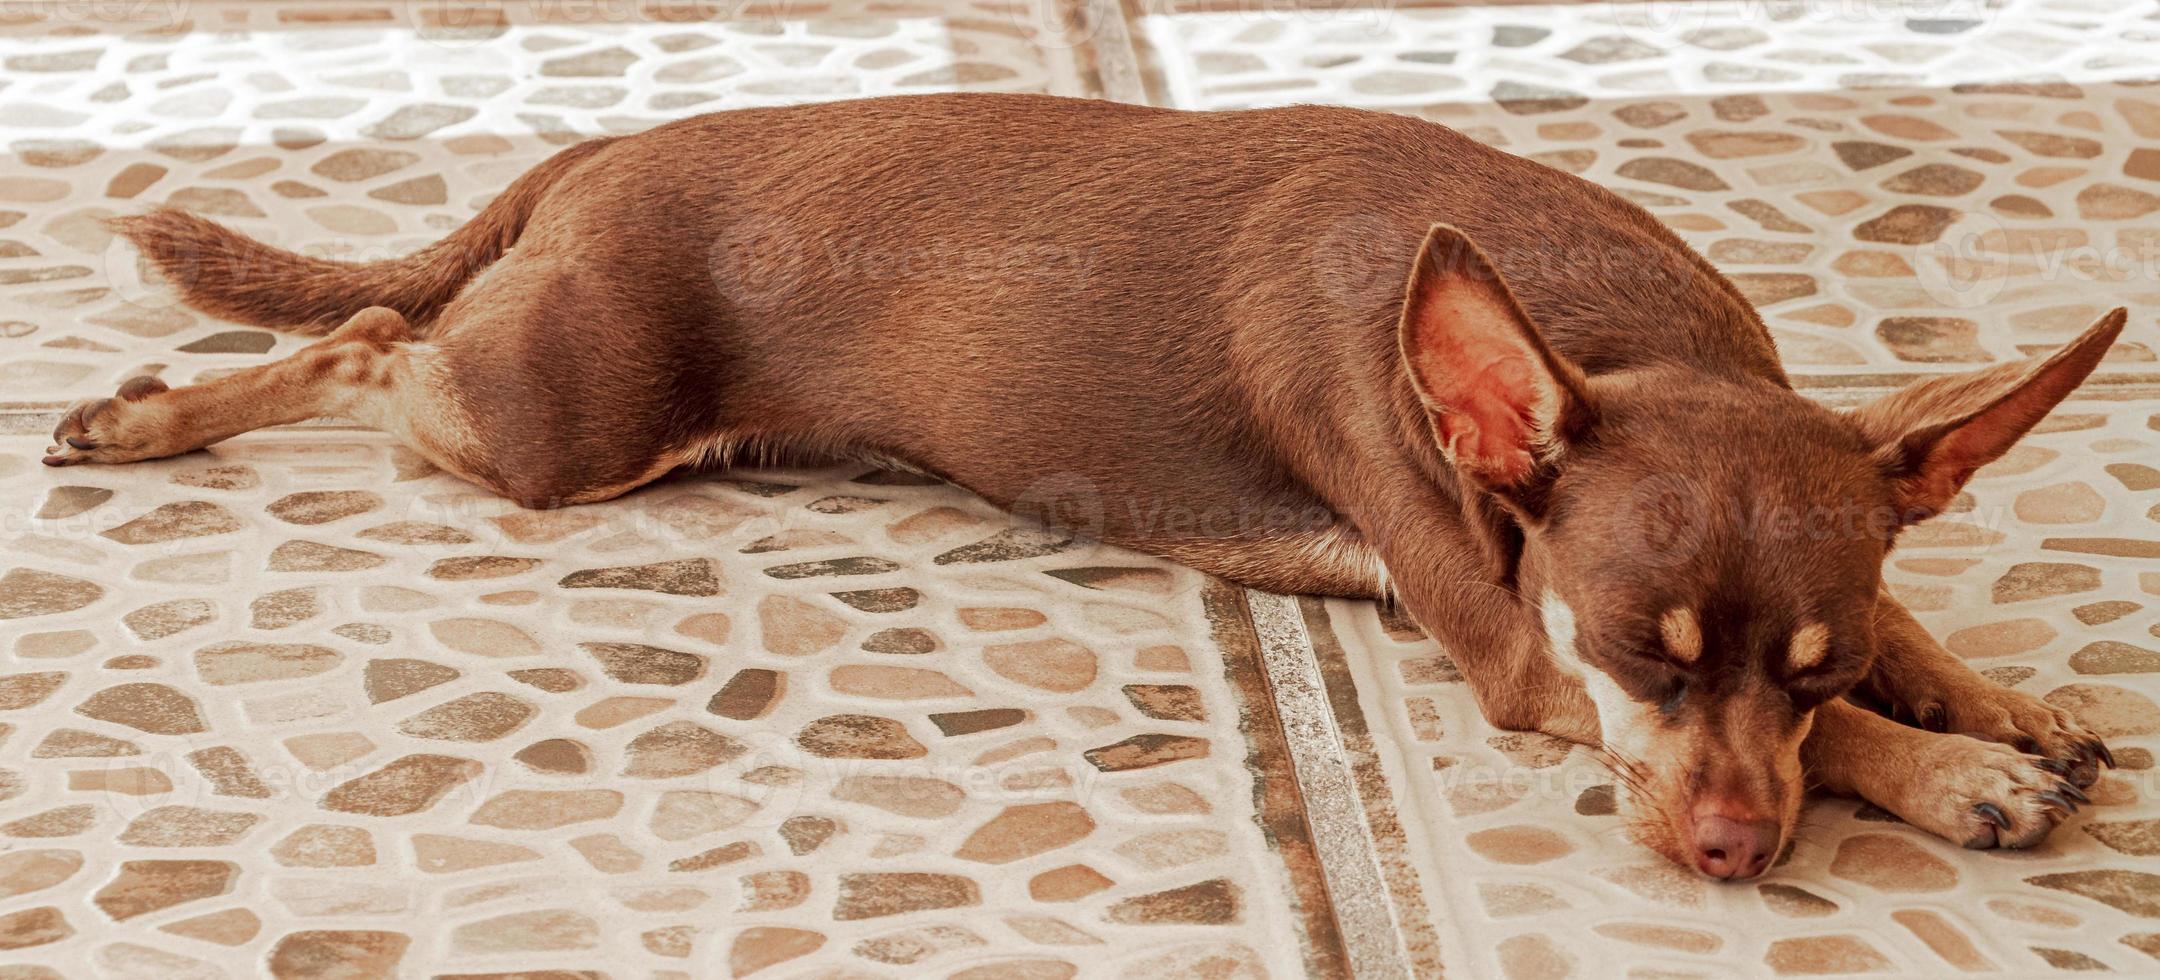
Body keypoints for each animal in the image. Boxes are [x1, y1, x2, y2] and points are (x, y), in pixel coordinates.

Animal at [54, 93, 2125, 880]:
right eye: (1638, 655)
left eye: (1802, 652)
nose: (1730, 855)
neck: (1601, 327)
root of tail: (598, 152)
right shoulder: (1517, 652)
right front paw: (1949, 771)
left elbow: (1901, 634)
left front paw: (1989, 699)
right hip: (548, 426)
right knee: (367, 341)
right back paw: (153, 415)